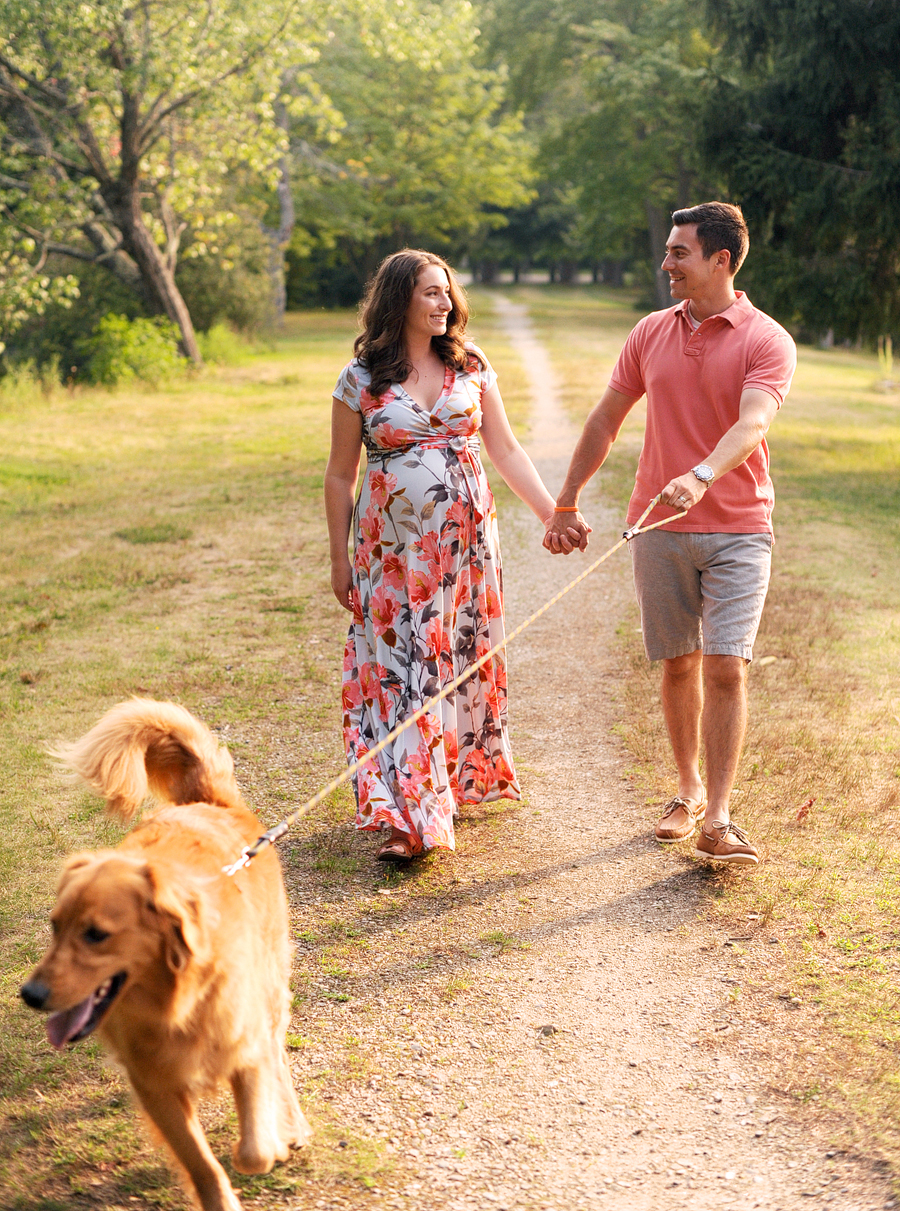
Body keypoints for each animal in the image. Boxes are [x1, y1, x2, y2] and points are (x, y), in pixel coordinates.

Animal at [20, 702, 312, 1211]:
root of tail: (209, 804)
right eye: (54, 926)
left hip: (272, 983)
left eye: (96, 935)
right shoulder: (153, 1083)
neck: (172, 1001)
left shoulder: (246, 1045)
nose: (30, 994)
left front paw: (273, 1142)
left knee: (278, 1053)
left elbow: (253, 1150)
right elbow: (202, 1164)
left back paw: (290, 1125)